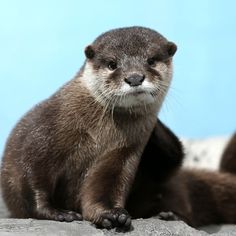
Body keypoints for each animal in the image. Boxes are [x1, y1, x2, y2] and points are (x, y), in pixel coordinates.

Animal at [0, 26, 178, 230]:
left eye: (151, 61)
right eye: (112, 64)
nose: (134, 77)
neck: (95, 135)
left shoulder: (123, 153)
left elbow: (106, 187)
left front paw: (112, 214)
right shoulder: (40, 137)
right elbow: (30, 181)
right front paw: (58, 213)